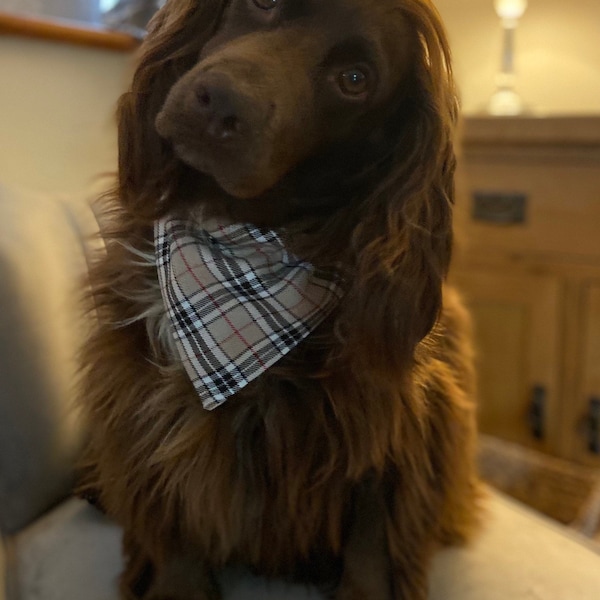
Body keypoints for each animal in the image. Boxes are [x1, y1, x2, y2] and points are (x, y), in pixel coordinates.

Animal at [79, 1, 480, 600]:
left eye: (354, 80)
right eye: (263, 3)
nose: (222, 102)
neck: (238, 236)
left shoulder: (393, 425)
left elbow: (373, 538)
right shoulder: (139, 399)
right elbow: (172, 528)